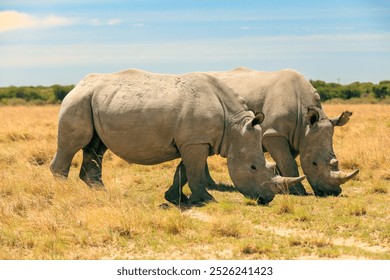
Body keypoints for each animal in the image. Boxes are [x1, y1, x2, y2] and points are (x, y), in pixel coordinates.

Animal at [49, 69, 304, 205]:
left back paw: (103, 193)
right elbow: (194, 171)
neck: (234, 127)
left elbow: (183, 170)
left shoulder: (193, 141)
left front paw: (174, 197)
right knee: (73, 145)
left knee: (96, 148)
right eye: (252, 167)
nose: (267, 199)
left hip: (93, 100)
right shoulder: (195, 142)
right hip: (77, 100)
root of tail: (77, 85)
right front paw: (206, 200)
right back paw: (62, 193)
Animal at [207, 67, 360, 197]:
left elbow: (285, 160)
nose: (332, 192)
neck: (304, 121)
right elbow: (288, 162)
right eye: (314, 163)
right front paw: (298, 192)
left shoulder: (297, 136)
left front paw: (282, 188)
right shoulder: (274, 133)